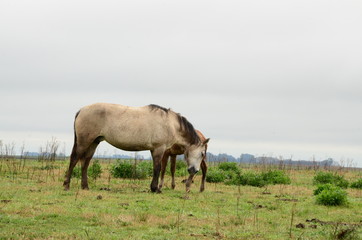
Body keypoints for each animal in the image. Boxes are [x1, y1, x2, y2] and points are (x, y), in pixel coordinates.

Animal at [62, 103, 209, 193]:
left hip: (94, 142)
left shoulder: (154, 150)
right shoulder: (159, 149)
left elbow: (156, 168)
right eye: (202, 154)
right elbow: (158, 168)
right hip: (84, 141)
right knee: (74, 159)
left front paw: (154, 187)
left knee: (85, 162)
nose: (194, 170)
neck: (171, 123)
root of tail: (81, 110)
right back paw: (66, 185)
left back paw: (85, 186)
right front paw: (155, 189)